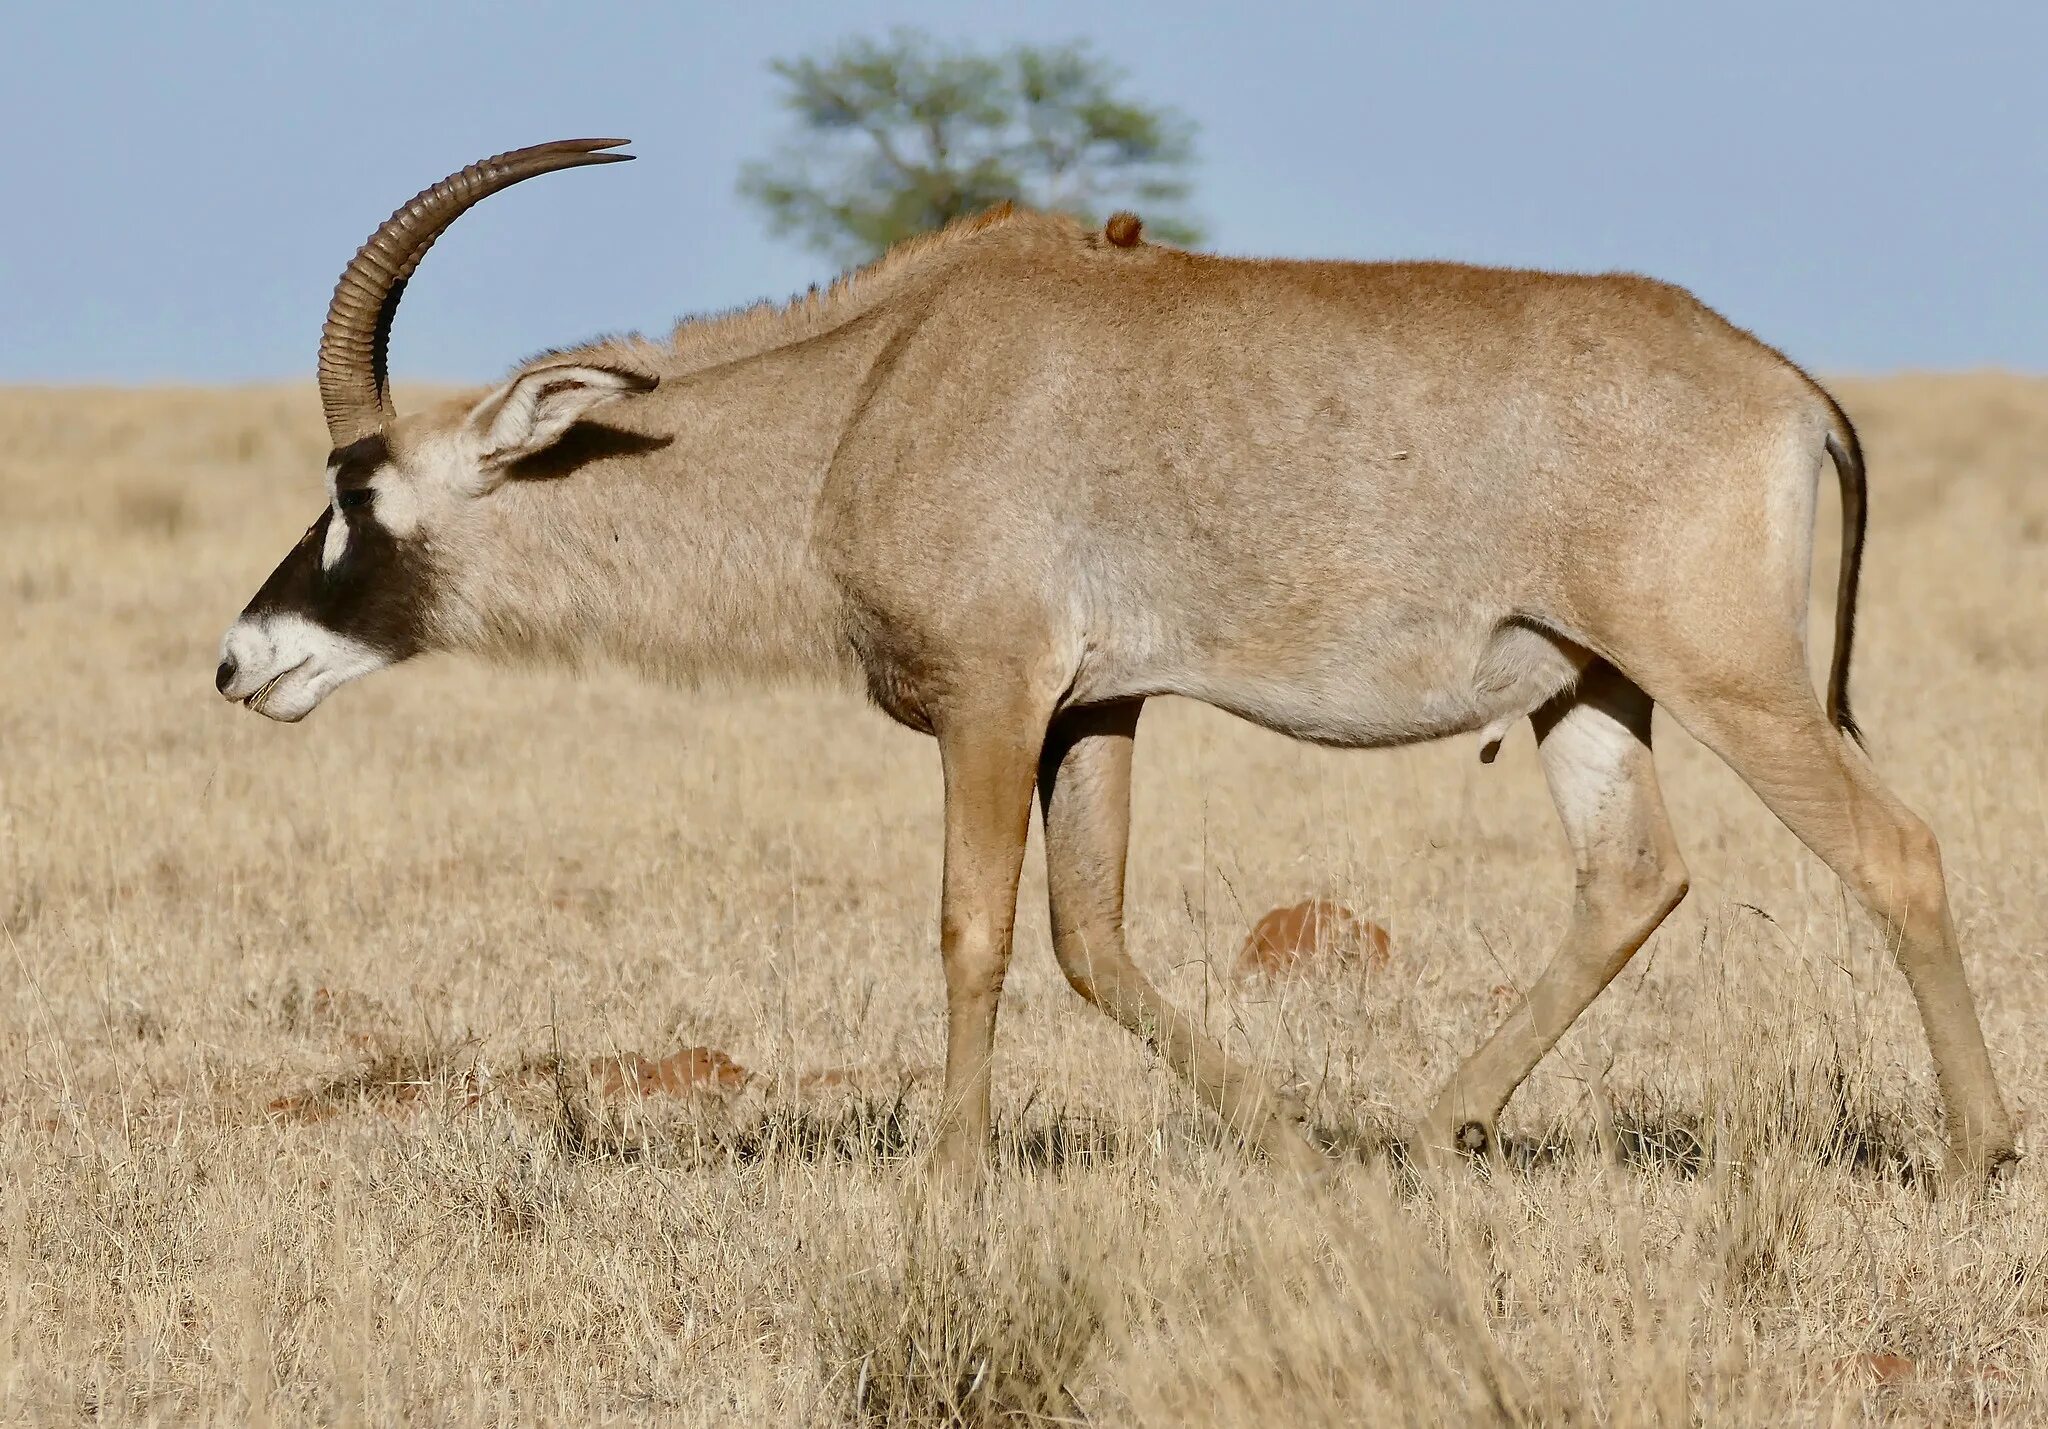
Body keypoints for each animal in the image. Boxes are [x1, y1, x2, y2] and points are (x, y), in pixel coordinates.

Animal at [220, 136, 2015, 1179]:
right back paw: (1426, 1131)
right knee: (1630, 877)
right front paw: (1294, 1146)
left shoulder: (996, 698)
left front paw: (946, 1181)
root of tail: (1778, 379)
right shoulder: (1100, 705)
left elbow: (975, 931)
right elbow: (1094, 939)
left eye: (356, 498)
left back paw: (1977, 1148)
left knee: (1894, 848)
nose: (245, 665)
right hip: (1588, 684)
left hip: (1730, 679)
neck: (874, 384)